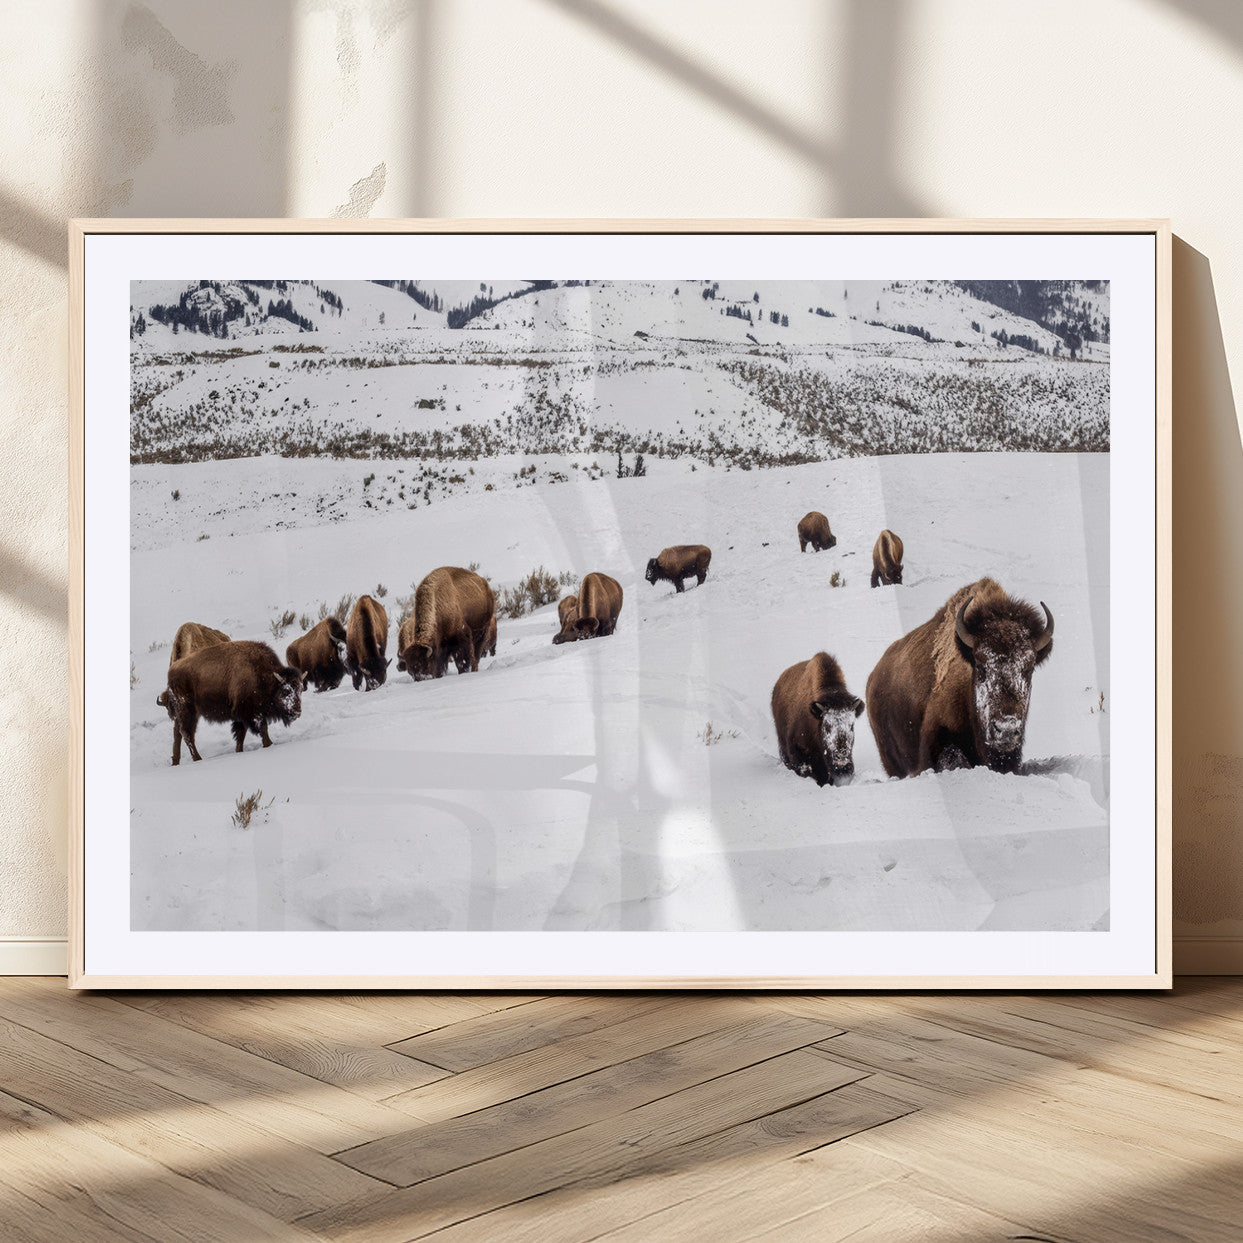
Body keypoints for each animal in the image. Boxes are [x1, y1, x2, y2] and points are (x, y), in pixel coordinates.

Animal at [159, 640, 302, 765]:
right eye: (286, 691)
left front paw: (239, 751)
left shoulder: (242, 715)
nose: (297, 712)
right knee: (187, 733)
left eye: (300, 690)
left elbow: (241, 734)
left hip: (183, 714)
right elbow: (262, 728)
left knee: (177, 733)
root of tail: (171, 672)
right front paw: (269, 745)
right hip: (188, 711)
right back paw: (198, 759)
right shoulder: (250, 712)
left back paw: (175, 762)